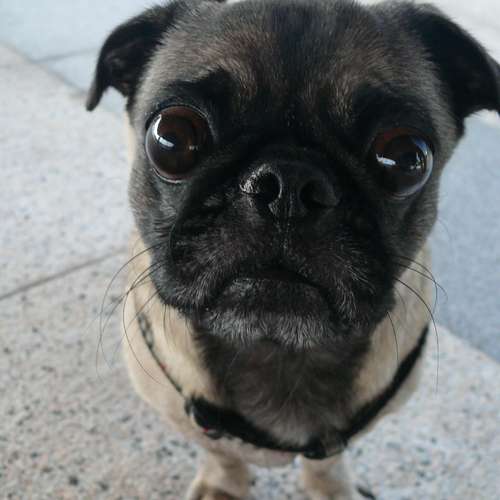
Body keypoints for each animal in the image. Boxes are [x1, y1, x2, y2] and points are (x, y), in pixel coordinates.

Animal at [87, 0, 500, 498]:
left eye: (406, 158)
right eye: (171, 137)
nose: (286, 185)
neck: (278, 345)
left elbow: (330, 458)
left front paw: (331, 487)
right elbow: (220, 451)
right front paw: (224, 485)